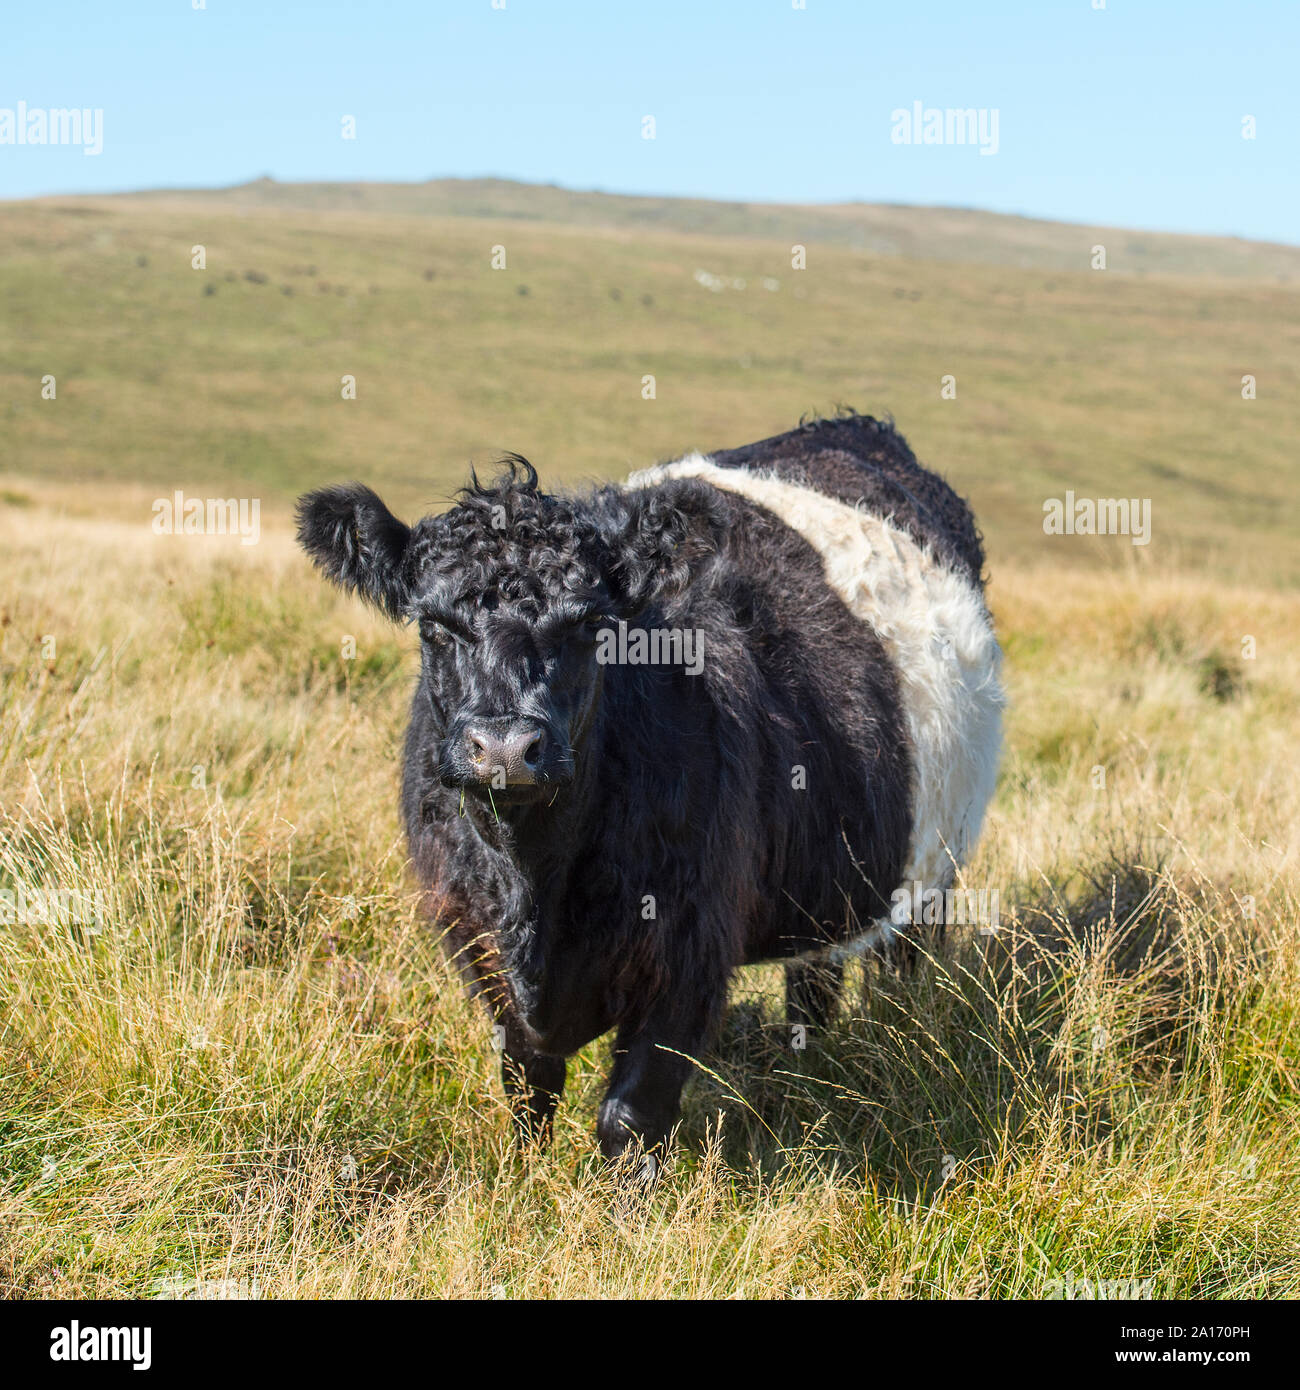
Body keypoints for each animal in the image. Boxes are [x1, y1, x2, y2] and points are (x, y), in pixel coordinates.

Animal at [296, 412, 1004, 1177]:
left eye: (590, 626)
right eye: (434, 626)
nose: (506, 748)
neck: (534, 886)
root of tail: (854, 427)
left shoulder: (690, 949)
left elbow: (630, 1116)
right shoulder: (475, 938)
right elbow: (527, 1081)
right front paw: (527, 1174)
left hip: (934, 872)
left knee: (900, 970)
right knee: (814, 978)